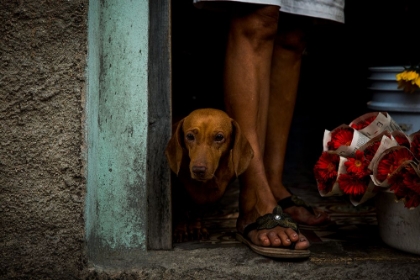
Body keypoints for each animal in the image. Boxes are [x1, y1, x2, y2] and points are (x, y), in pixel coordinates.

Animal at [167, 108, 253, 242]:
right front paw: (180, 230)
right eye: (190, 136)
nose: (198, 170)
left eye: (219, 137)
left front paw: (195, 227)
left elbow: (197, 210)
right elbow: (180, 209)